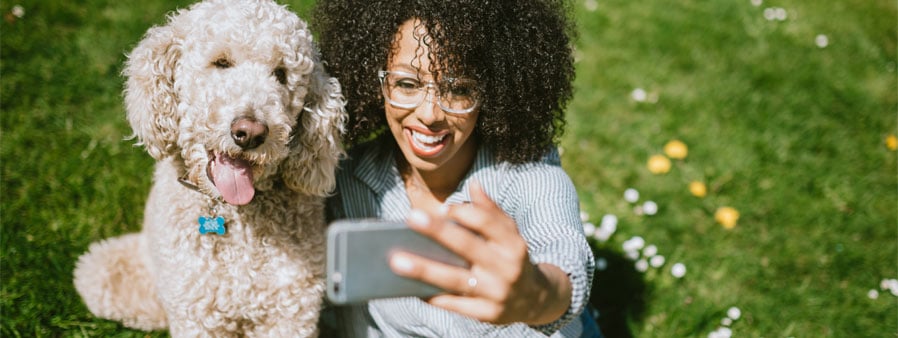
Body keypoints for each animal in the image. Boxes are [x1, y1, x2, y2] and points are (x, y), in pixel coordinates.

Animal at [73, 0, 344, 336]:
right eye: (221, 62)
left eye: (281, 74)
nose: (250, 132)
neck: (235, 215)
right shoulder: (195, 313)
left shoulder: (291, 312)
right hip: (102, 269)